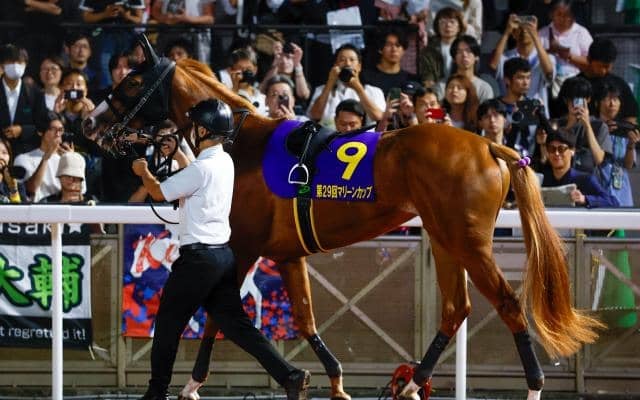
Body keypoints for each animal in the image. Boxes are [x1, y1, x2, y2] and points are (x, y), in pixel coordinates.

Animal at [84, 36, 603, 400]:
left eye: (132, 82)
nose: (88, 122)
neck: (240, 143)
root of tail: (492, 147)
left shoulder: (244, 245)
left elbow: (217, 316)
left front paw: (193, 383)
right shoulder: (287, 255)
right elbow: (304, 318)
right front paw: (331, 380)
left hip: (469, 242)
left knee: (507, 304)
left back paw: (531, 386)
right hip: (442, 238)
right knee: (457, 309)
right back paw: (411, 383)